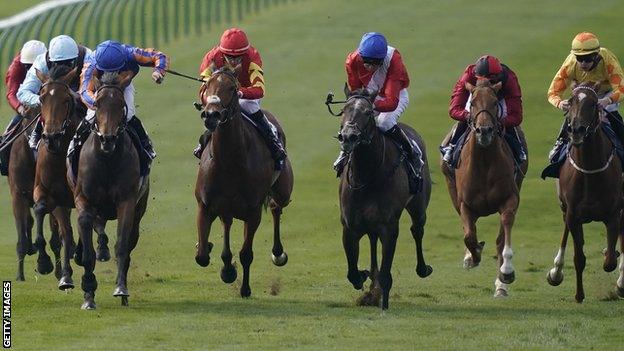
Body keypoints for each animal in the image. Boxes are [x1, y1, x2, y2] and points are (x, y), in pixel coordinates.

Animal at [70, 71, 149, 310]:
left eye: (122, 105)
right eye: (97, 104)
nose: (107, 139)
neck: (106, 160)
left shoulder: (127, 202)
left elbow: (122, 245)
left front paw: (121, 289)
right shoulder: (84, 200)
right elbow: (87, 249)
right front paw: (88, 293)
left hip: (139, 209)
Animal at [194, 66, 294, 300]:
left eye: (232, 88)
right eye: (207, 84)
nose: (211, 115)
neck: (230, 161)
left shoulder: (253, 211)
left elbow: (246, 254)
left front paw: (244, 288)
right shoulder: (205, 205)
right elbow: (202, 256)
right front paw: (218, 258)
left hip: (283, 190)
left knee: (276, 206)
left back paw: (278, 253)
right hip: (226, 208)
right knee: (227, 224)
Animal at [336, 88, 434, 310]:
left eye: (367, 113)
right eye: (344, 109)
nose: (348, 136)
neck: (367, 176)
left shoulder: (389, 228)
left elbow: (385, 272)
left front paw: (383, 304)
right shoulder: (350, 227)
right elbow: (352, 273)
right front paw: (364, 279)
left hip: (418, 207)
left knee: (417, 230)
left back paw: (423, 268)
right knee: (373, 240)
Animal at [438, 79, 528, 296]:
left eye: (495, 103)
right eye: (472, 103)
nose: (484, 131)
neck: (485, 162)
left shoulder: (510, 199)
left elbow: (503, 234)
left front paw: (506, 273)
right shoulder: (465, 204)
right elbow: (469, 236)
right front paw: (473, 256)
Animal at [544, 83, 624, 302]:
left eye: (594, 103)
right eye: (571, 101)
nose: (577, 130)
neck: (590, 170)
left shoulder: (614, 213)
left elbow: (610, 261)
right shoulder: (573, 215)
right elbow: (579, 257)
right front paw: (579, 295)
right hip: (564, 208)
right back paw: (556, 272)